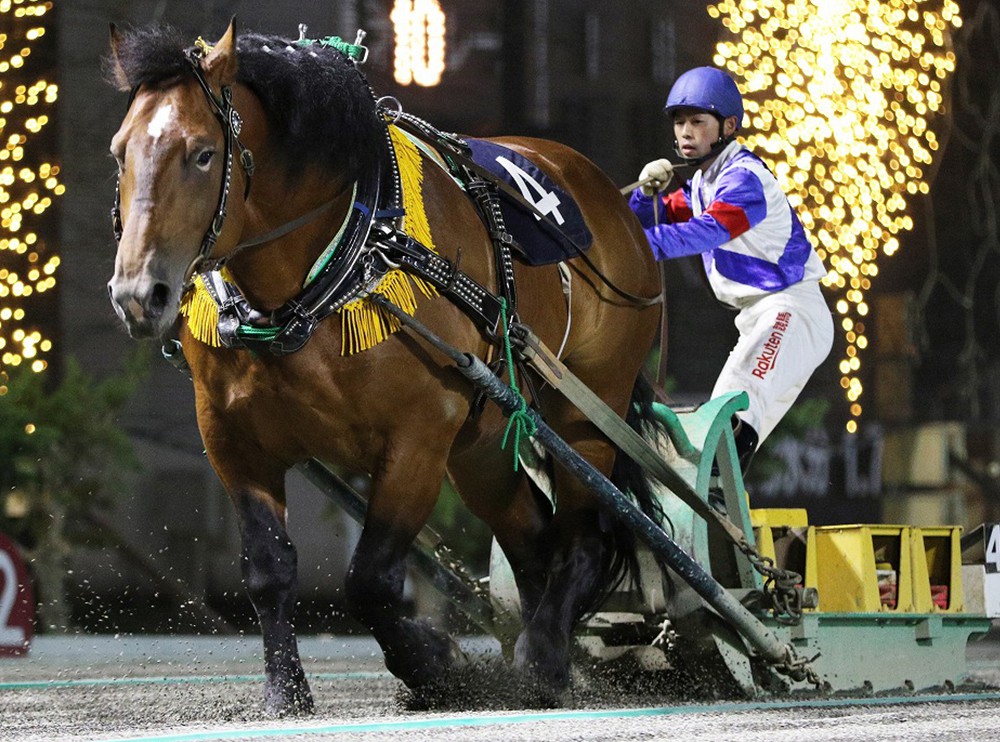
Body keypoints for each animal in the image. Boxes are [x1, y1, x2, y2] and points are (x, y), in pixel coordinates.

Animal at [105, 20, 663, 713]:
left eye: (204, 153)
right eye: (119, 152)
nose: (138, 294)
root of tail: (608, 195)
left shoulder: (419, 435)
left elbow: (369, 578)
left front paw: (435, 662)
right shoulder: (231, 437)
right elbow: (267, 568)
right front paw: (286, 689)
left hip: (588, 406)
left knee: (582, 538)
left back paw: (544, 659)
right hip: (481, 444)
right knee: (535, 540)